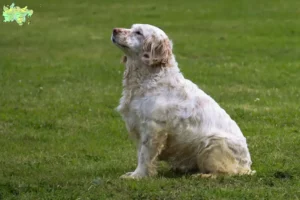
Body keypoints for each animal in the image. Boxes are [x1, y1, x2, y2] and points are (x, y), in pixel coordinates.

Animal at [111, 24, 254, 179]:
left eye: (138, 32)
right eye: (131, 28)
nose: (114, 30)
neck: (148, 79)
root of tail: (247, 165)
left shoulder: (153, 127)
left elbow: (144, 155)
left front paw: (138, 175)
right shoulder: (137, 124)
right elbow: (140, 153)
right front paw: (135, 173)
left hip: (212, 143)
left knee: (224, 172)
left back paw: (201, 175)